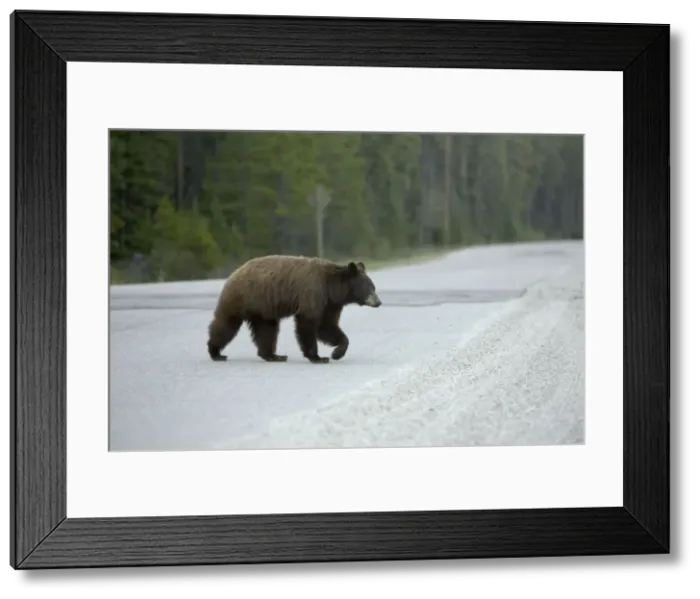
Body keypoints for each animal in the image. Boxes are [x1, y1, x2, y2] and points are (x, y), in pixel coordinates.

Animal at [206, 254, 382, 364]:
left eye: (374, 287)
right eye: (369, 287)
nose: (379, 302)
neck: (332, 288)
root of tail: (234, 273)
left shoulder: (330, 304)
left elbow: (327, 326)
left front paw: (337, 352)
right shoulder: (313, 292)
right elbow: (308, 322)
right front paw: (318, 357)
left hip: (263, 309)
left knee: (267, 330)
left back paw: (273, 355)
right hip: (242, 298)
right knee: (227, 324)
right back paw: (216, 352)